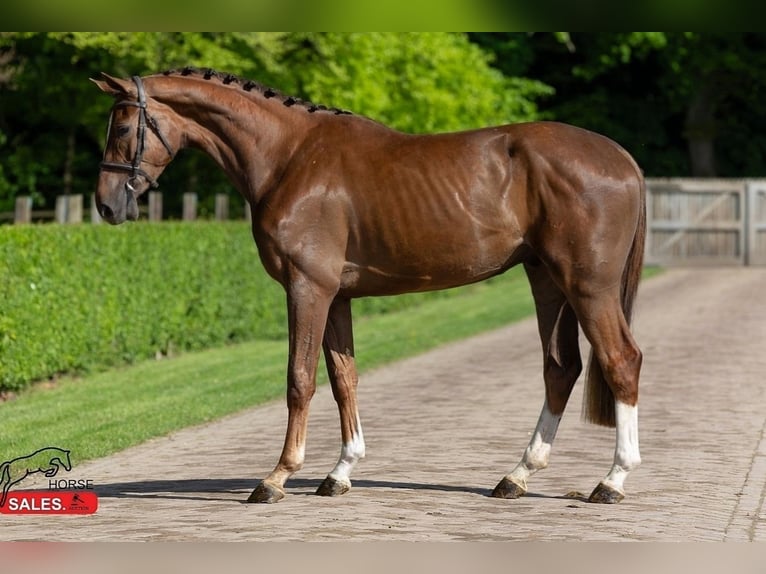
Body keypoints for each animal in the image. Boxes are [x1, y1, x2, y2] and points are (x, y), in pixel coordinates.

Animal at [92, 68, 645, 505]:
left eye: (123, 126)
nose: (106, 205)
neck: (289, 156)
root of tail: (623, 159)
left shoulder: (307, 288)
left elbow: (299, 379)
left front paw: (276, 477)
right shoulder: (336, 296)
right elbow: (344, 379)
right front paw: (340, 472)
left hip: (587, 286)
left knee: (621, 361)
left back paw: (612, 481)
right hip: (547, 279)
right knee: (561, 368)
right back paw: (517, 476)